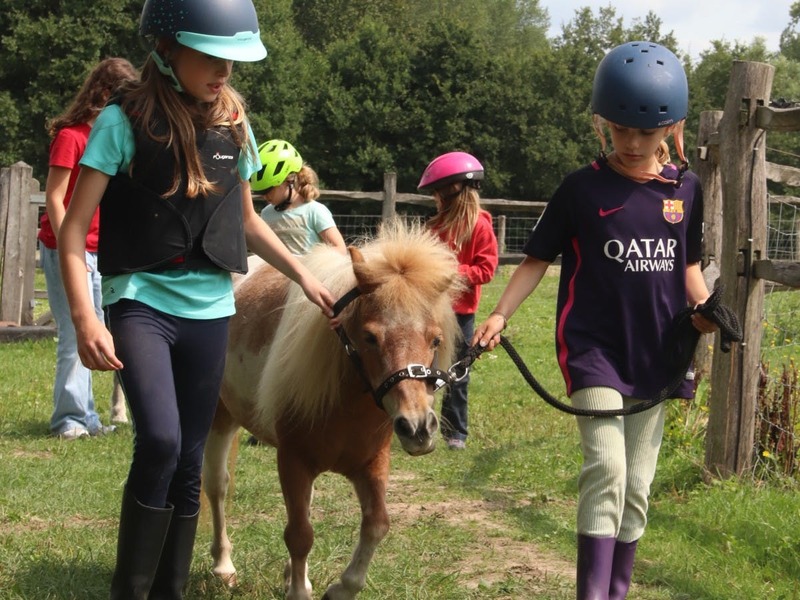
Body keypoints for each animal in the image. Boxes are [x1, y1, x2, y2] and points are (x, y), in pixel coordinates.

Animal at [202, 220, 464, 600]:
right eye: (370, 337)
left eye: (436, 339)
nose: (418, 428)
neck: (346, 405)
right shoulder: (293, 460)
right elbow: (299, 535)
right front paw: (299, 591)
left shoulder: (372, 464)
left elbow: (376, 525)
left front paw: (338, 588)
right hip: (220, 419)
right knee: (217, 487)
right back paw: (223, 566)